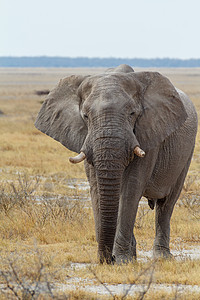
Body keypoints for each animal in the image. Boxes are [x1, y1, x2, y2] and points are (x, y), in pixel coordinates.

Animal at [35, 64, 198, 264]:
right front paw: (117, 260)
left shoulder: (148, 134)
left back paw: (162, 257)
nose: (107, 259)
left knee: (166, 205)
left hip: (187, 152)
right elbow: (97, 188)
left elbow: (130, 190)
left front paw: (122, 260)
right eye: (86, 116)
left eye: (132, 114)